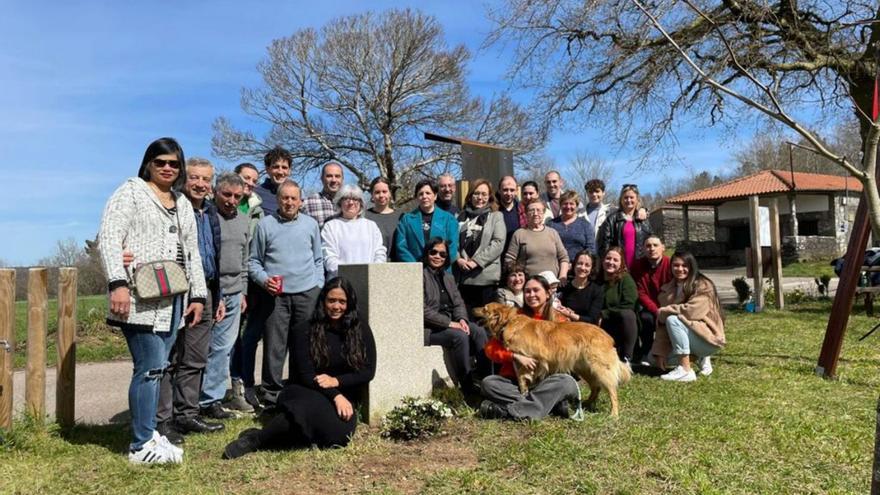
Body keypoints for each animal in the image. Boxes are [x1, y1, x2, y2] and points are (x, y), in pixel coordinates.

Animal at [474, 302, 632, 418]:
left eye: (484, 308)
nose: (472, 308)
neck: (509, 321)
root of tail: (608, 337)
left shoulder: (531, 360)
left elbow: (522, 378)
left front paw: (524, 393)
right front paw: (524, 393)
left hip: (600, 368)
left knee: (612, 392)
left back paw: (613, 414)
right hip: (585, 368)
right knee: (596, 387)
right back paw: (586, 404)